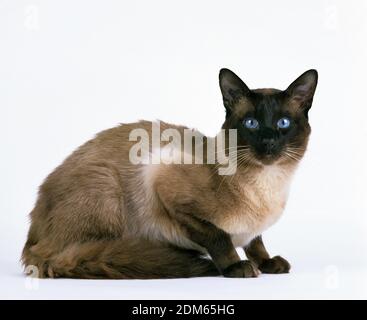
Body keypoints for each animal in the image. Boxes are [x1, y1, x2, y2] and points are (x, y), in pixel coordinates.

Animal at [21, 68, 318, 278]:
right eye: (251, 123)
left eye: (283, 123)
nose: (268, 143)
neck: (268, 186)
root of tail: (31, 236)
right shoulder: (164, 180)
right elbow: (219, 238)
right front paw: (236, 267)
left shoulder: (253, 232)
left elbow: (256, 242)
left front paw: (268, 263)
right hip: (106, 186)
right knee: (69, 256)